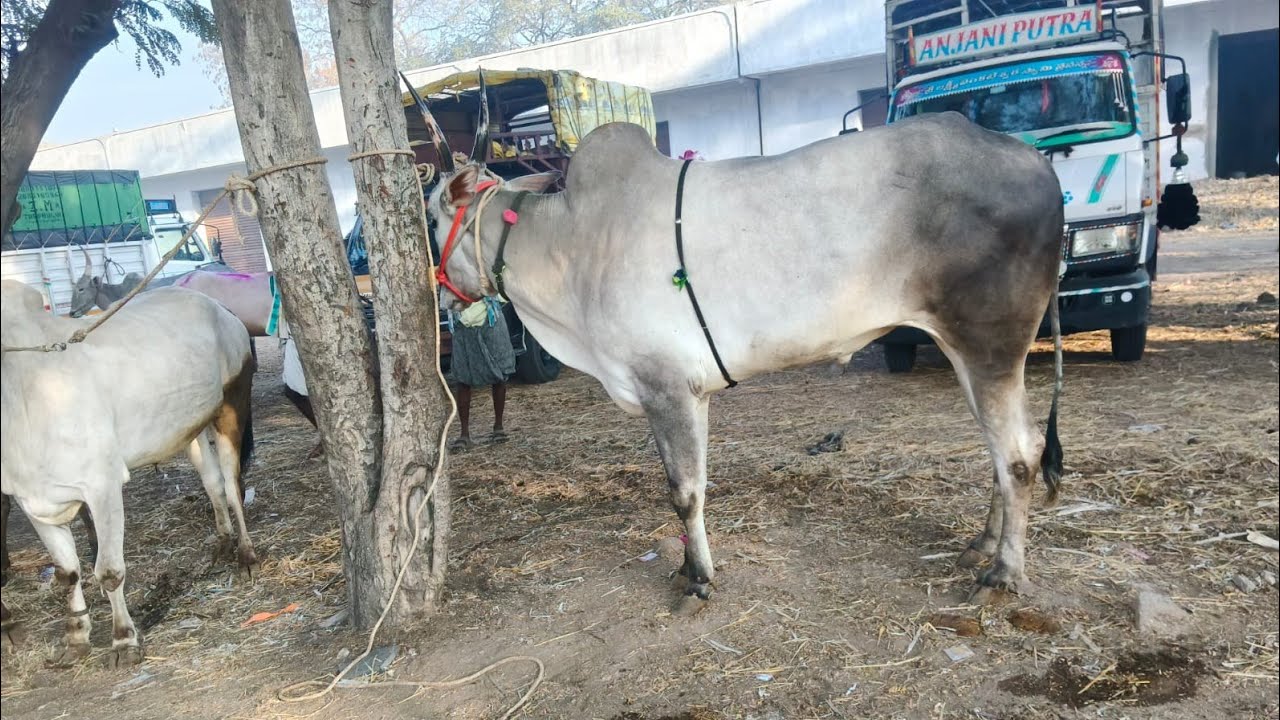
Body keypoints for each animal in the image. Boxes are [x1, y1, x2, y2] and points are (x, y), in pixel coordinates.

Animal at [1, 279, 258, 666]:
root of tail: (219, 307)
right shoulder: (33, 501)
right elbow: (67, 574)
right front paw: (76, 639)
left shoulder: (102, 486)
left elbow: (108, 572)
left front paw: (124, 640)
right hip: (192, 429)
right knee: (212, 483)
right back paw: (223, 544)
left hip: (231, 406)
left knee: (231, 484)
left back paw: (245, 555)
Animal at [418, 110, 1065, 613]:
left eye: (429, 217)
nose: (442, 300)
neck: (573, 246)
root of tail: (1033, 159)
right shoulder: (685, 393)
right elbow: (687, 487)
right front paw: (687, 567)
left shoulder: (666, 388)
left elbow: (684, 491)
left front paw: (700, 581)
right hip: (970, 352)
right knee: (1004, 453)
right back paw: (982, 544)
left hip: (989, 346)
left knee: (1019, 454)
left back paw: (1002, 574)